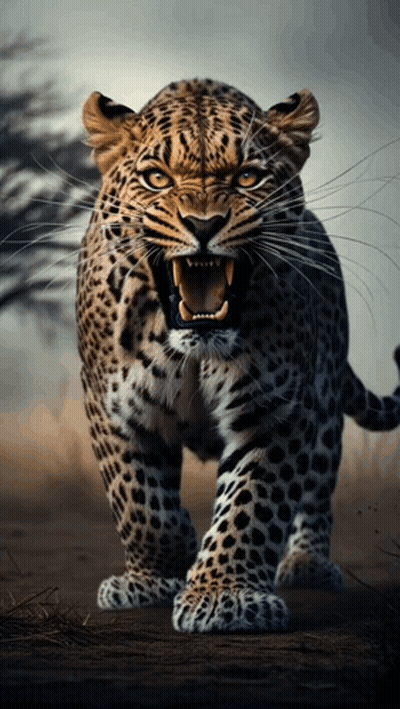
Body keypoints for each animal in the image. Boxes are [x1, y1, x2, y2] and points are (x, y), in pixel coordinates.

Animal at [77, 78, 400, 633]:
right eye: (157, 178)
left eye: (248, 177)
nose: (203, 224)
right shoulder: (110, 403)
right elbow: (139, 503)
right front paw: (160, 573)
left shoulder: (277, 407)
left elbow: (253, 503)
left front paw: (222, 596)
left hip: (325, 404)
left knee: (318, 489)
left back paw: (308, 564)